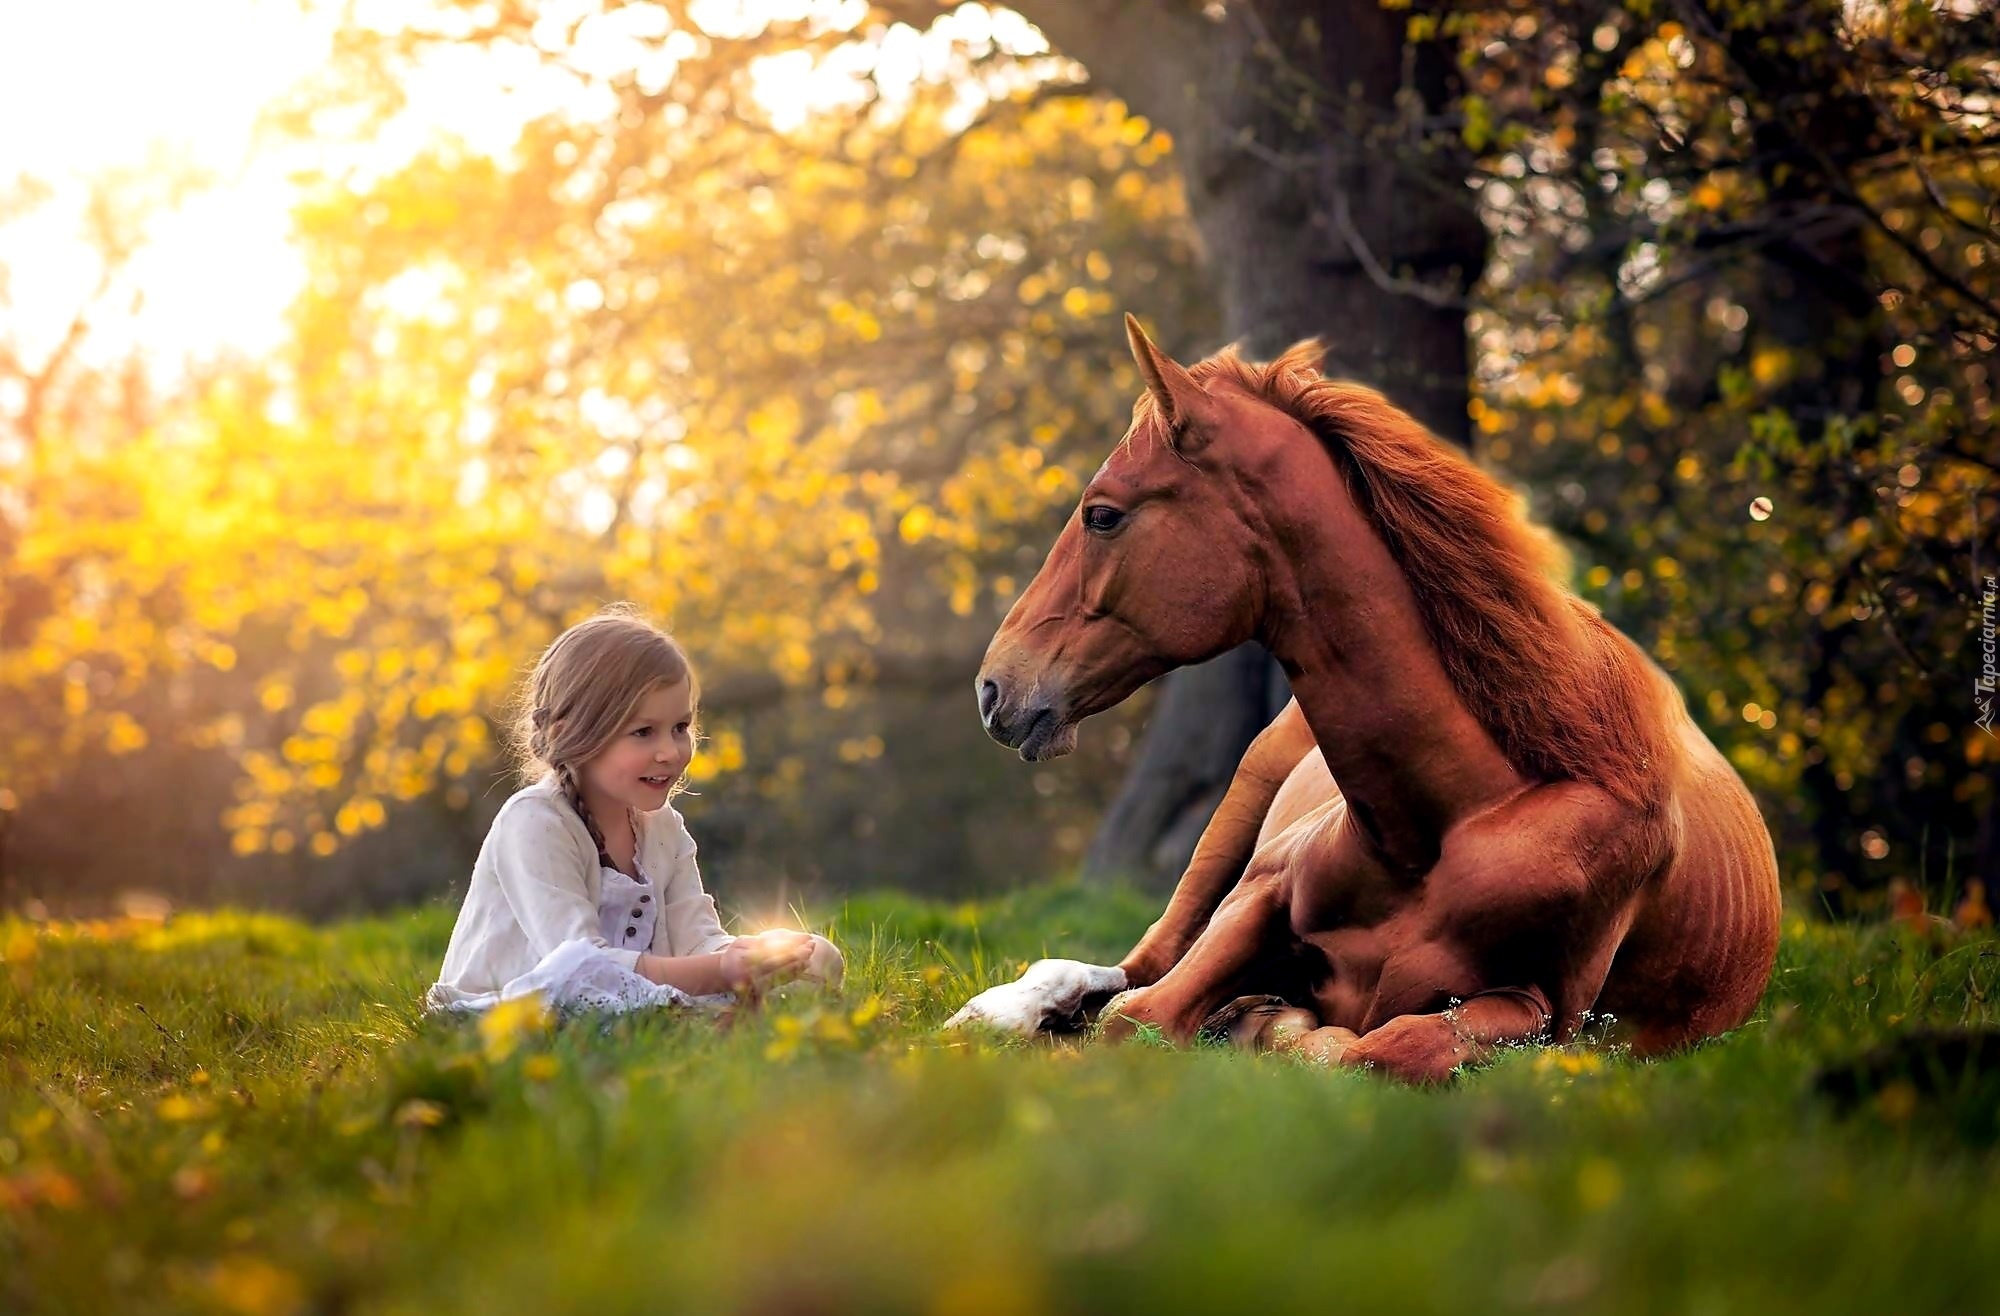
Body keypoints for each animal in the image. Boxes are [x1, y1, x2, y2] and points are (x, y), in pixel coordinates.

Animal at [952, 316, 1784, 1080]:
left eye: (1103, 514)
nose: (994, 686)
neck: (1452, 819)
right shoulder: (1257, 900)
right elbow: (1137, 1015)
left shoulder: (1544, 1012)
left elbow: (1380, 1049)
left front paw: (1273, 1026)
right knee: (1126, 967)